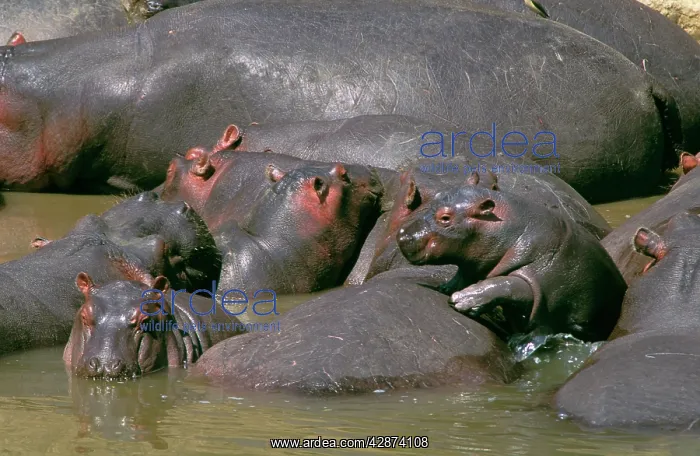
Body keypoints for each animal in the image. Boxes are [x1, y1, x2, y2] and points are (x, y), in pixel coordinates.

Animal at [396, 182, 626, 342]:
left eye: (445, 218)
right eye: (434, 197)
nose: (402, 233)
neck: (510, 227)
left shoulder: (540, 276)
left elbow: (508, 285)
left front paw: (462, 299)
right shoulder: (473, 263)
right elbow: (464, 272)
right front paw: (446, 287)